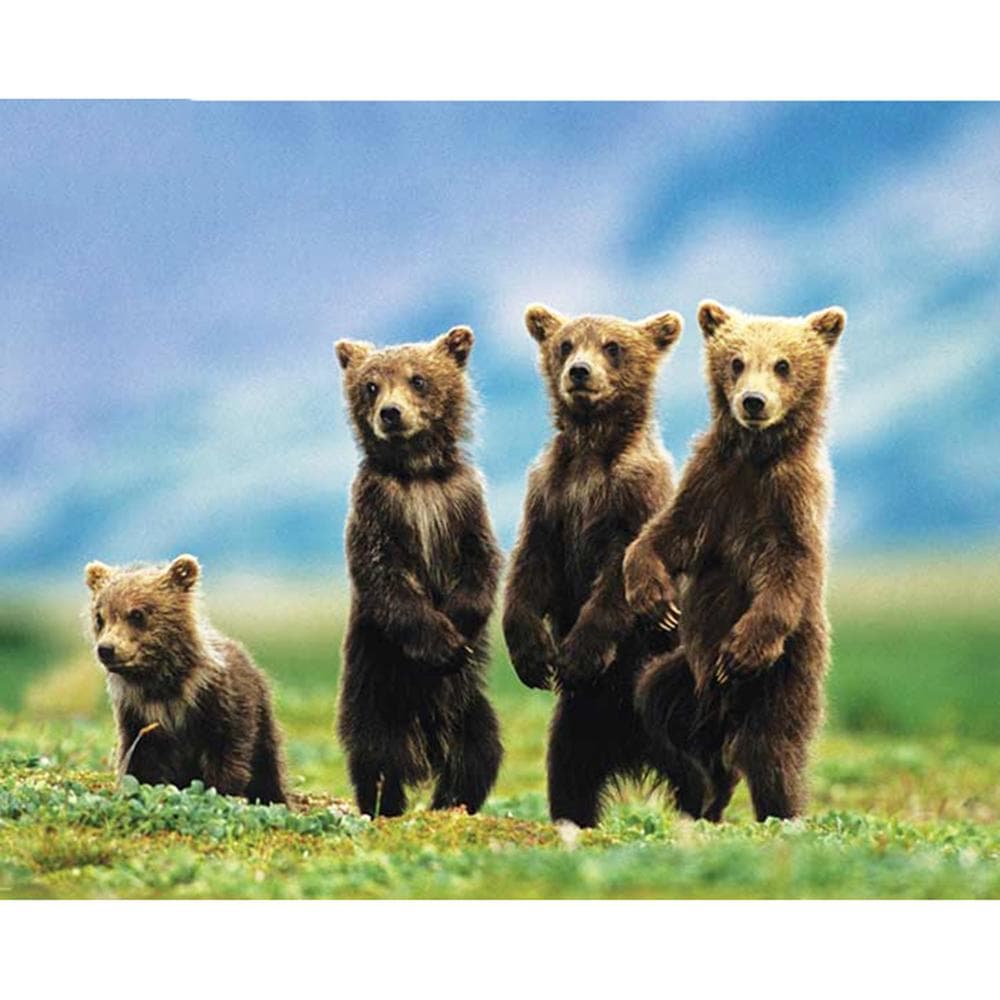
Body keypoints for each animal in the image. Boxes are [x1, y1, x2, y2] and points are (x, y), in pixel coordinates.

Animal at [84, 554, 288, 804]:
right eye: (99, 617)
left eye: (136, 614)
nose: (106, 649)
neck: (163, 684)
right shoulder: (138, 713)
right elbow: (139, 760)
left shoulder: (218, 703)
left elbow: (226, 754)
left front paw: (222, 792)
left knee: (267, 765)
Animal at [334, 325, 503, 818]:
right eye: (371, 385)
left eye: (419, 379)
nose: (391, 413)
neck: (418, 475)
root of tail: (426, 748)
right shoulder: (379, 507)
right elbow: (385, 578)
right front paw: (441, 641)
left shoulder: (462, 502)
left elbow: (481, 564)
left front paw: (460, 625)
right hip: (377, 691)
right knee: (377, 758)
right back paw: (385, 804)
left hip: (467, 706)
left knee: (479, 750)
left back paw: (453, 802)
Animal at [502, 302, 692, 828]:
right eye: (566, 343)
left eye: (613, 346)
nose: (579, 372)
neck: (591, 450)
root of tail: (631, 750)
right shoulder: (550, 496)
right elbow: (530, 569)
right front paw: (533, 655)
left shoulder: (634, 499)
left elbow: (617, 582)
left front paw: (578, 653)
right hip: (578, 723)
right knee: (569, 774)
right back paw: (572, 818)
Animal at [622, 299, 847, 822]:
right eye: (736, 361)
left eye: (783, 364)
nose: (753, 402)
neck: (755, 458)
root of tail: (721, 710)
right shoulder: (711, 483)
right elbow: (664, 535)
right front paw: (655, 601)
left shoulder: (789, 503)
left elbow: (788, 572)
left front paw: (742, 648)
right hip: (684, 674)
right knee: (654, 705)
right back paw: (703, 791)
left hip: (785, 677)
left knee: (771, 751)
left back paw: (775, 810)